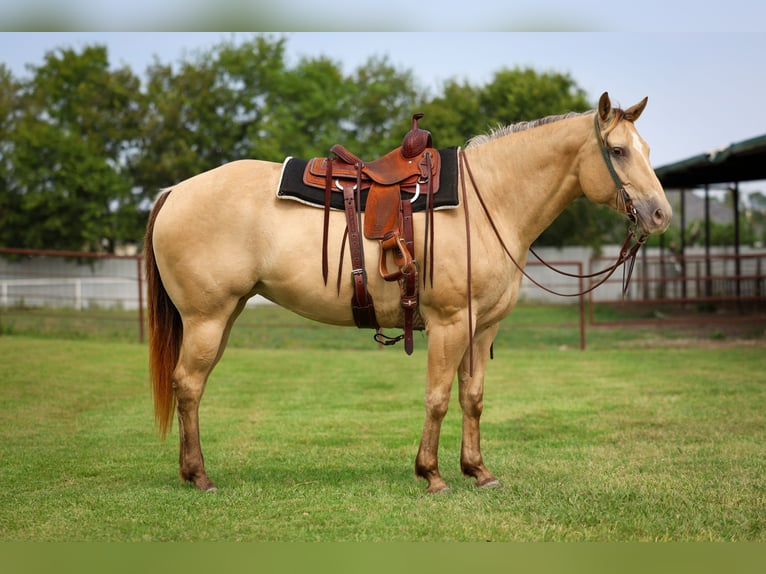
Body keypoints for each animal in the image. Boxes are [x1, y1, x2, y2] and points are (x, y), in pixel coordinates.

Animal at [144, 92, 672, 494]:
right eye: (619, 151)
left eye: (646, 148)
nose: (660, 215)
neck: (489, 202)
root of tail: (175, 191)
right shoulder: (450, 323)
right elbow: (437, 397)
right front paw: (432, 475)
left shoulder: (482, 329)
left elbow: (472, 397)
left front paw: (478, 471)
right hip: (207, 318)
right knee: (188, 385)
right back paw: (200, 477)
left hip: (225, 315)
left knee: (193, 386)